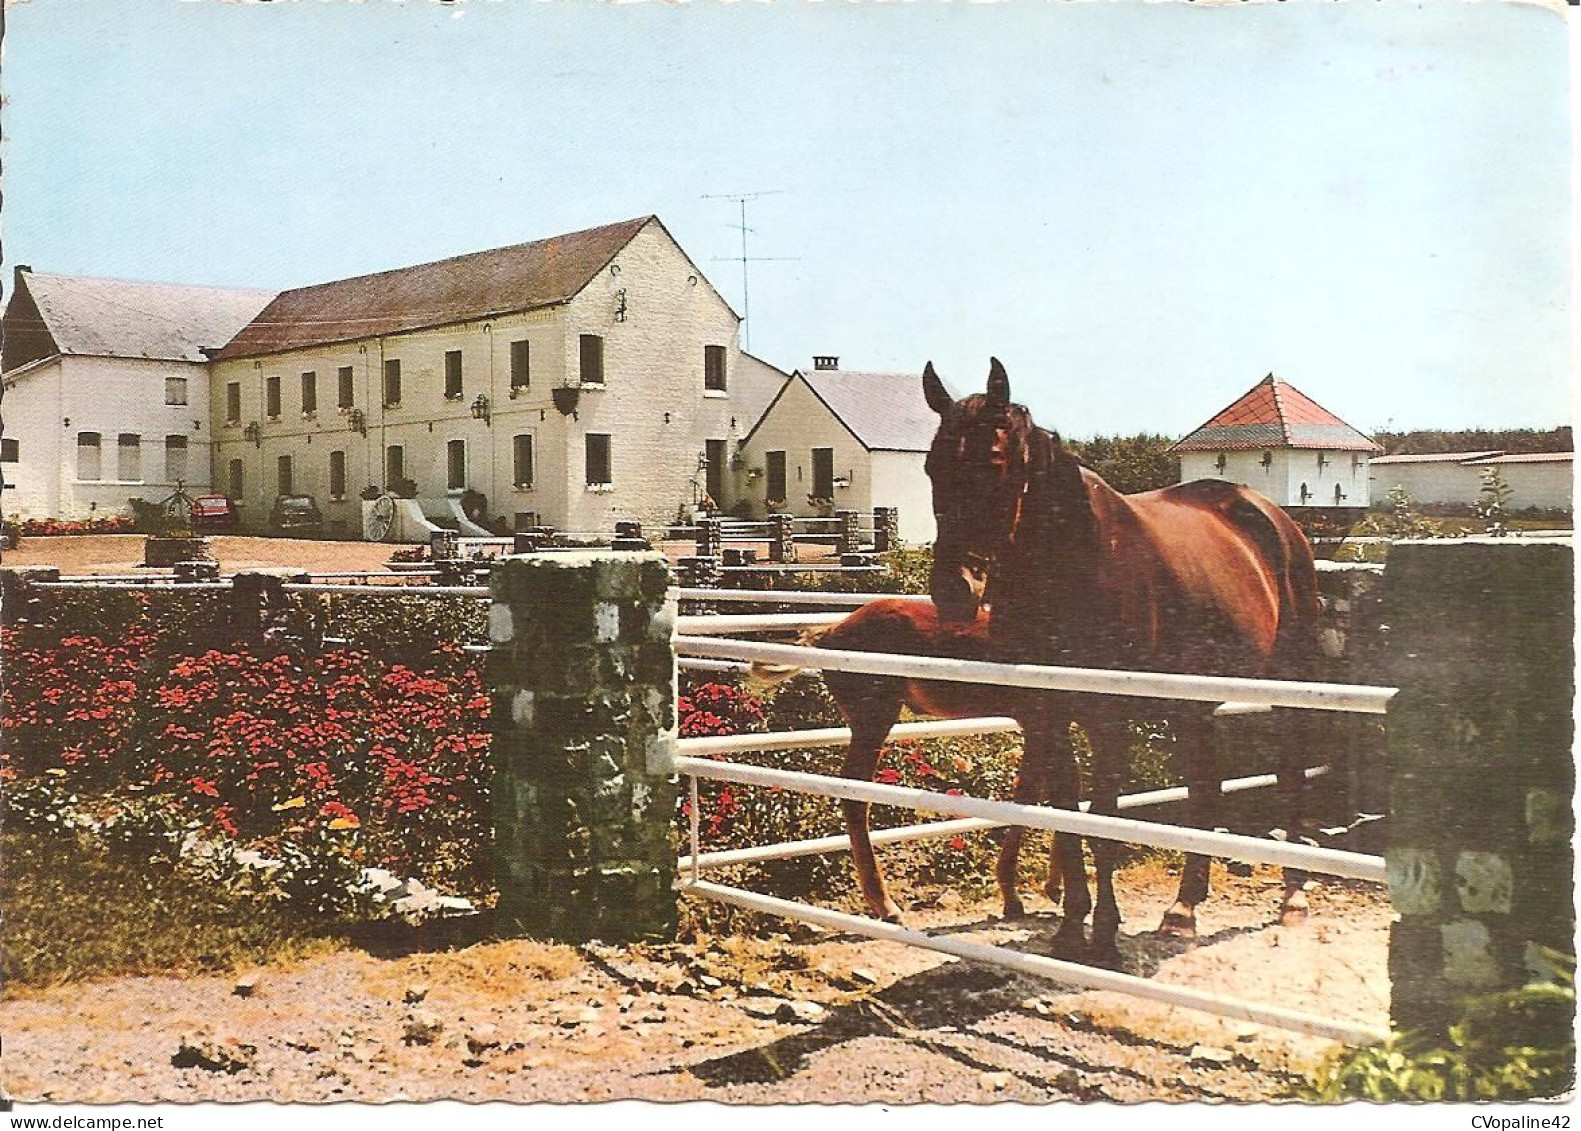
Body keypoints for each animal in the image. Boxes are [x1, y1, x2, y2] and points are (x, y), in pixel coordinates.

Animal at [923, 360, 1315, 961]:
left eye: (992, 462)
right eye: (931, 468)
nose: (953, 590)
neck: (1075, 564)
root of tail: (1273, 516)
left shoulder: (1108, 719)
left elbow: (1105, 816)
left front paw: (1104, 934)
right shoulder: (1048, 716)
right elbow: (1067, 811)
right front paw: (1070, 927)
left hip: (1286, 683)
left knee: (1291, 770)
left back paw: (1292, 897)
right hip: (1194, 704)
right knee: (1205, 786)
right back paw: (1183, 909)